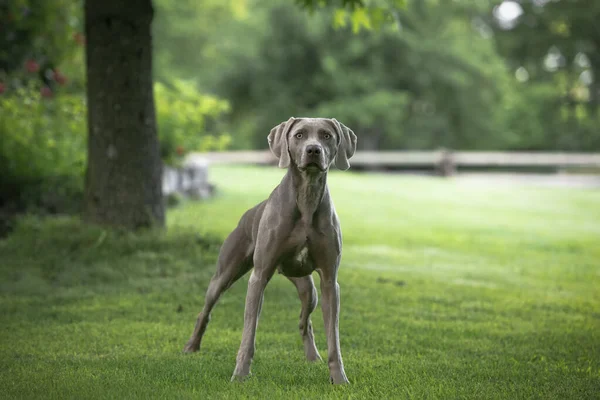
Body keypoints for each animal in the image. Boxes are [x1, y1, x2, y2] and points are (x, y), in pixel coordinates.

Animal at [184, 116, 356, 384]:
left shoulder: (330, 281)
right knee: (205, 311)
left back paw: (312, 357)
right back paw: (192, 347)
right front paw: (240, 375)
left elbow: (333, 338)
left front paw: (339, 378)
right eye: (299, 135)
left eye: (326, 135)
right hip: (224, 274)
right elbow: (249, 333)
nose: (313, 150)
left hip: (309, 291)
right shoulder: (259, 276)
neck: (306, 197)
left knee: (304, 322)